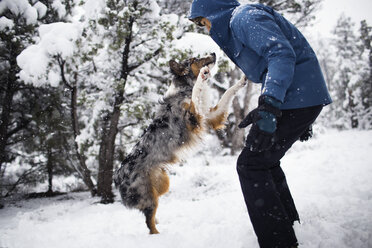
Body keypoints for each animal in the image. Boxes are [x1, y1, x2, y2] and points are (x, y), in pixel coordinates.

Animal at [114, 53, 247, 233]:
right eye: (195, 59)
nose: (213, 53)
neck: (184, 89)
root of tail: (117, 177)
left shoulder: (209, 117)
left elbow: (227, 92)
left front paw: (242, 80)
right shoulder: (192, 118)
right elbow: (196, 92)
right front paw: (202, 76)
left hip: (162, 183)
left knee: (151, 215)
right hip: (147, 195)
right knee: (149, 223)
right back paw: (158, 235)